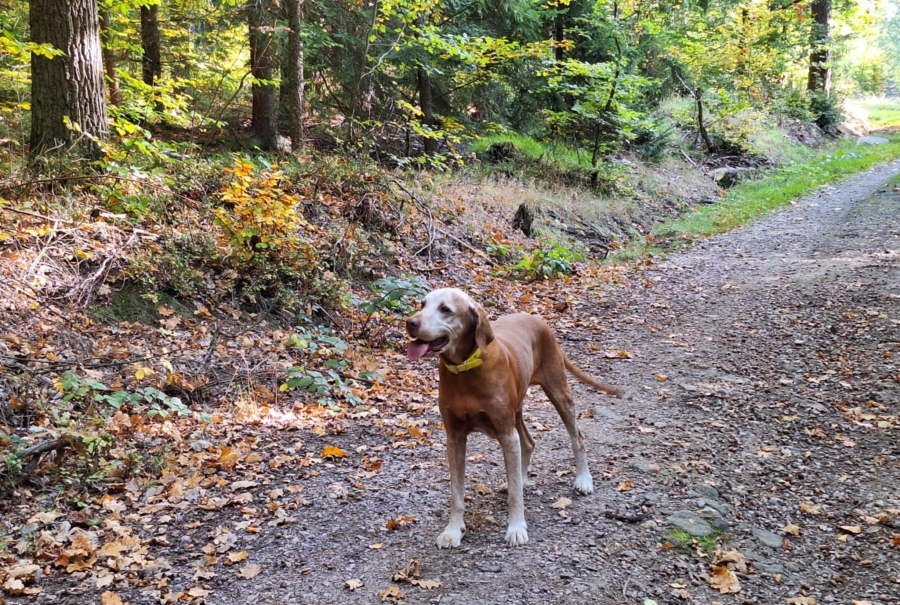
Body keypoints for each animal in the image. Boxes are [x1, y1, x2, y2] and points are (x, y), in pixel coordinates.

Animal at [405, 287, 622, 548]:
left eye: (445, 309)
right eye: (422, 304)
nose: (410, 322)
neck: (466, 368)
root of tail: (537, 319)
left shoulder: (506, 435)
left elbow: (515, 496)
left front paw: (516, 528)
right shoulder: (455, 438)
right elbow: (457, 494)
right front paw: (453, 531)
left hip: (558, 393)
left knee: (577, 437)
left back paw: (583, 480)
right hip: (516, 409)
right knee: (528, 443)